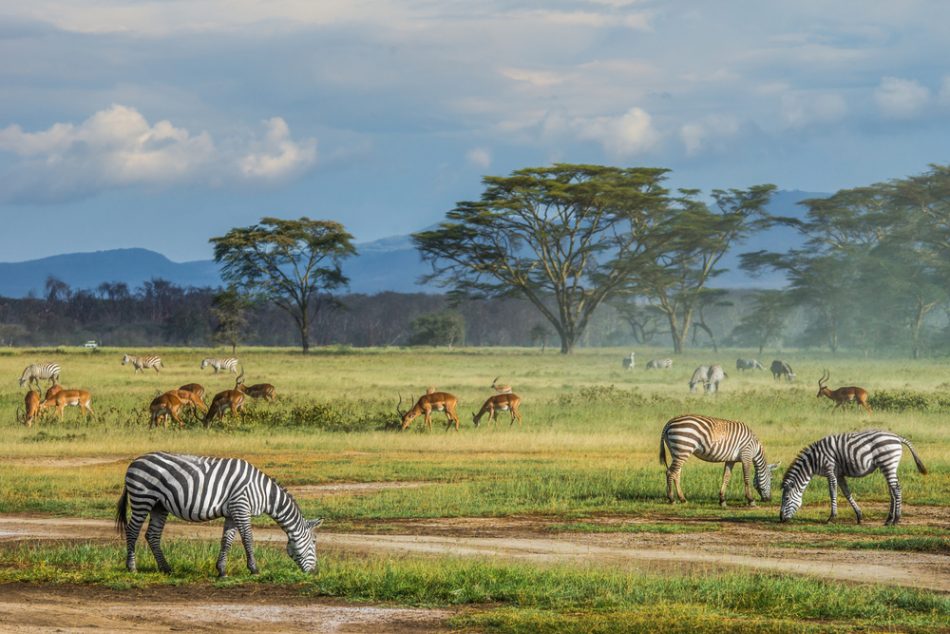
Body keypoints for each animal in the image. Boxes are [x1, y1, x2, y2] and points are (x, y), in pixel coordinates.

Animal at [114, 450, 324, 572]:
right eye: (314, 542)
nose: (315, 572)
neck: (263, 492)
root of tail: (134, 461)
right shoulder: (241, 505)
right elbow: (248, 538)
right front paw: (254, 568)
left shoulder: (232, 512)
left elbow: (227, 541)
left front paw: (221, 570)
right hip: (142, 498)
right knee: (132, 531)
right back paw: (131, 567)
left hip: (159, 505)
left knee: (152, 535)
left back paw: (166, 568)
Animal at [780, 430, 928, 524]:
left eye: (786, 498)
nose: (780, 519)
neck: (813, 460)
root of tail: (898, 438)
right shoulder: (839, 474)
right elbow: (846, 493)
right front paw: (859, 516)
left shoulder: (830, 470)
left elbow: (832, 492)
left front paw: (832, 518)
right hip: (888, 466)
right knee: (892, 490)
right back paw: (888, 519)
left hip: (887, 463)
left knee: (896, 489)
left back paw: (896, 519)